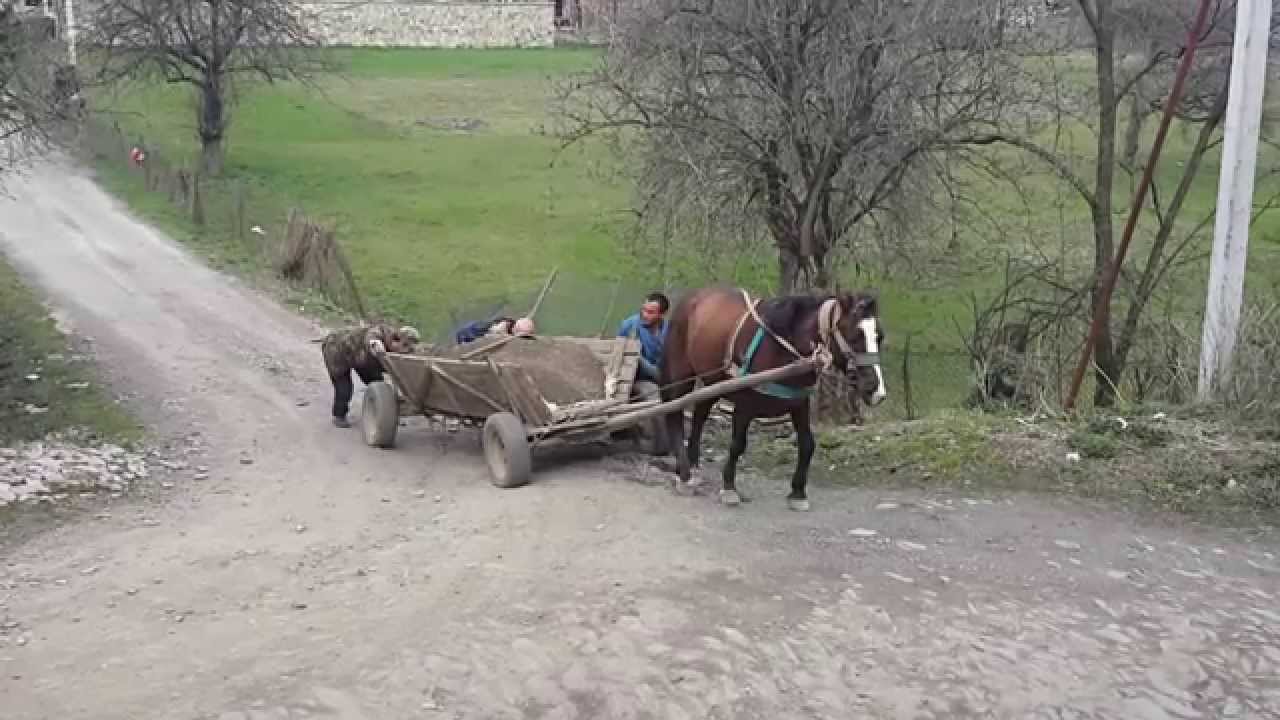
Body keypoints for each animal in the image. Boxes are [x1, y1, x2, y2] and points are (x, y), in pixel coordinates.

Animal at [655, 283, 885, 507]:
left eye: (879, 337)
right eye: (855, 336)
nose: (876, 390)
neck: (783, 347)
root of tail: (691, 298)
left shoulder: (799, 403)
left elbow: (807, 444)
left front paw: (798, 493)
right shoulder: (745, 404)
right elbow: (737, 444)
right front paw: (729, 488)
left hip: (714, 381)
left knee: (700, 414)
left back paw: (693, 464)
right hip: (681, 374)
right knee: (674, 414)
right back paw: (684, 472)